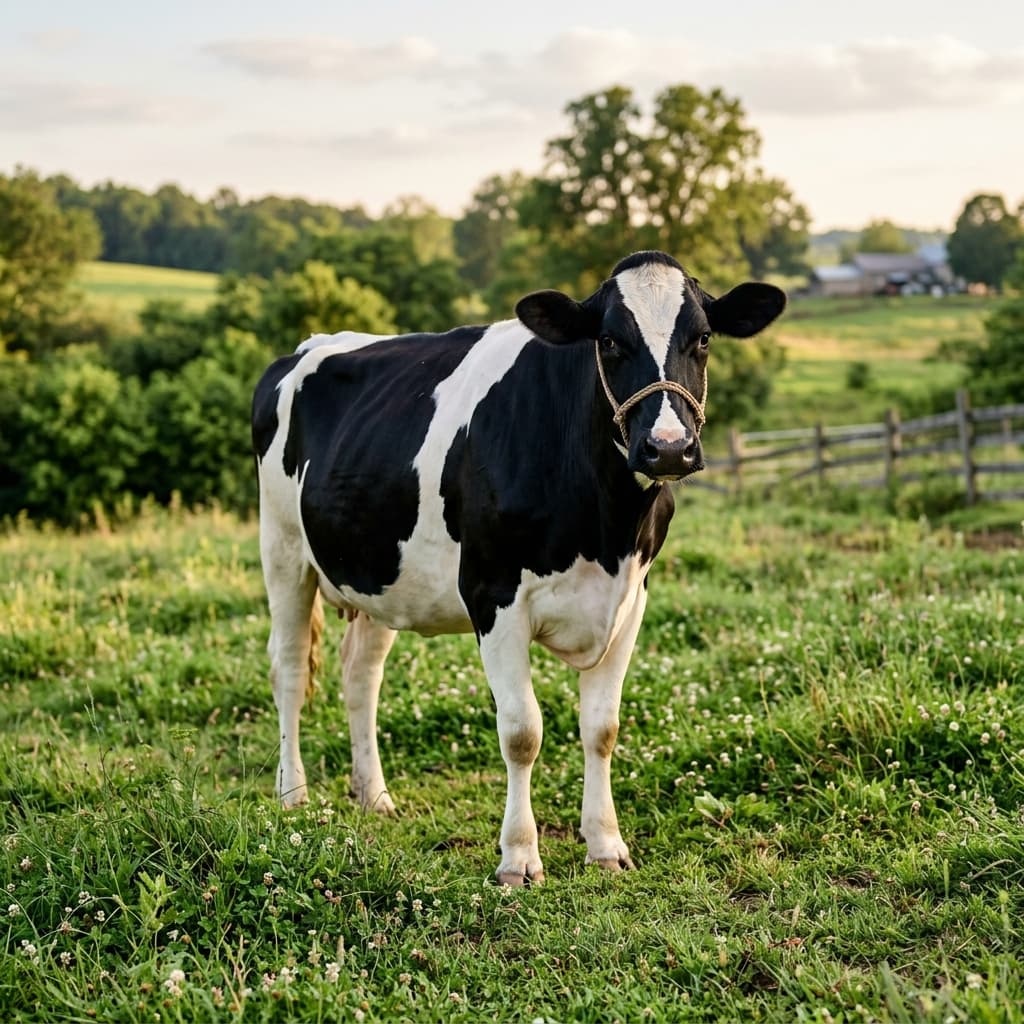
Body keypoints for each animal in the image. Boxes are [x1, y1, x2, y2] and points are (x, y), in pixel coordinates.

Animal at [252, 250, 785, 885]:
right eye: (609, 340)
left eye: (703, 338)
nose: (669, 448)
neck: (604, 527)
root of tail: (308, 346)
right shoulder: (494, 597)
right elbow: (522, 732)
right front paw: (519, 858)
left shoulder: (630, 600)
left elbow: (602, 728)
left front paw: (606, 845)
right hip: (283, 550)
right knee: (288, 670)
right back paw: (293, 794)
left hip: (378, 574)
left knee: (362, 676)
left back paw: (374, 795)